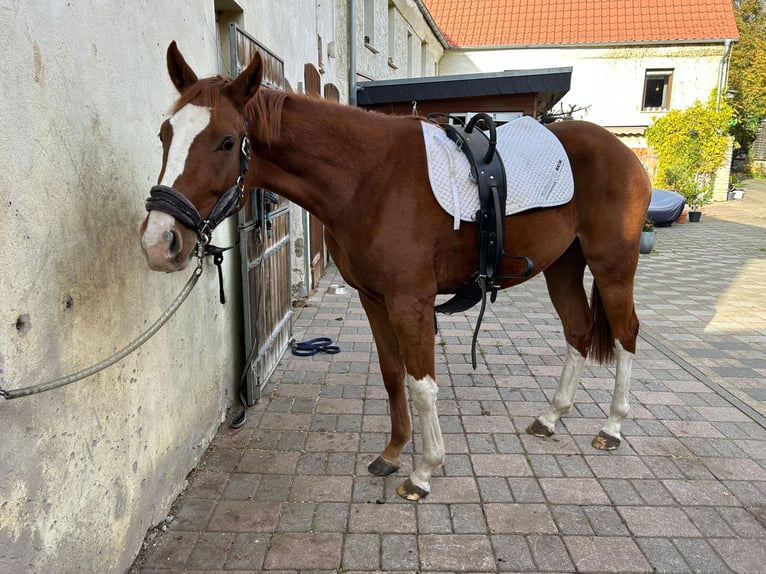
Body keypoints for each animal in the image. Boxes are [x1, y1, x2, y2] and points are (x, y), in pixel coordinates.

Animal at [140, 42, 652, 501]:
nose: (158, 242)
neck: (369, 178)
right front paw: (392, 453)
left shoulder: (411, 302)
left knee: (626, 334)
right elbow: (392, 375)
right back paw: (551, 416)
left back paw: (612, 426)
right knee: (578, 331)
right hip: (562, 266)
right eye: (164, 134)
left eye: (227, 142)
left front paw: (424, 471)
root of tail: (624, 153)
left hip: (612, 265)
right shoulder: (374, 299)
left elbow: (422, 386)